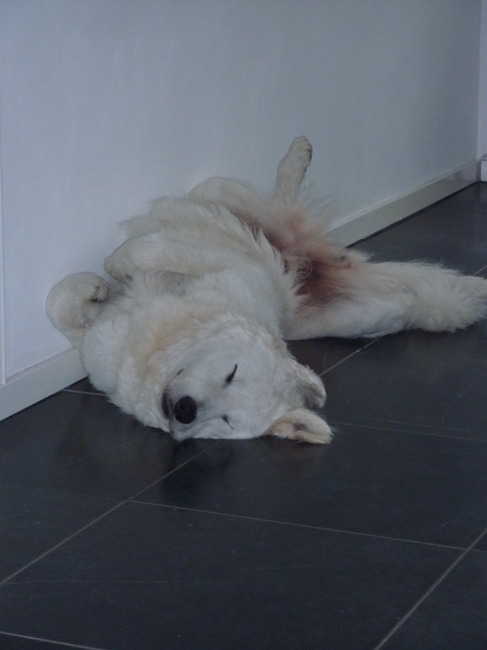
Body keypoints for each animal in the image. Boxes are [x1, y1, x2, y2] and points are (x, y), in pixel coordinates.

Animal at [47, 137, 487, 444]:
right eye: (231, 373)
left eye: (225, 420)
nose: (186, 410)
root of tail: (316, 258)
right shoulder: (224, 263)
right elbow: (82, 289)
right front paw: (103, 280)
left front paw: (102, 282)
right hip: (219, 193)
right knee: (271, 201)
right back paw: (298, 156)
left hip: (365, 316)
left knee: (405, 299)